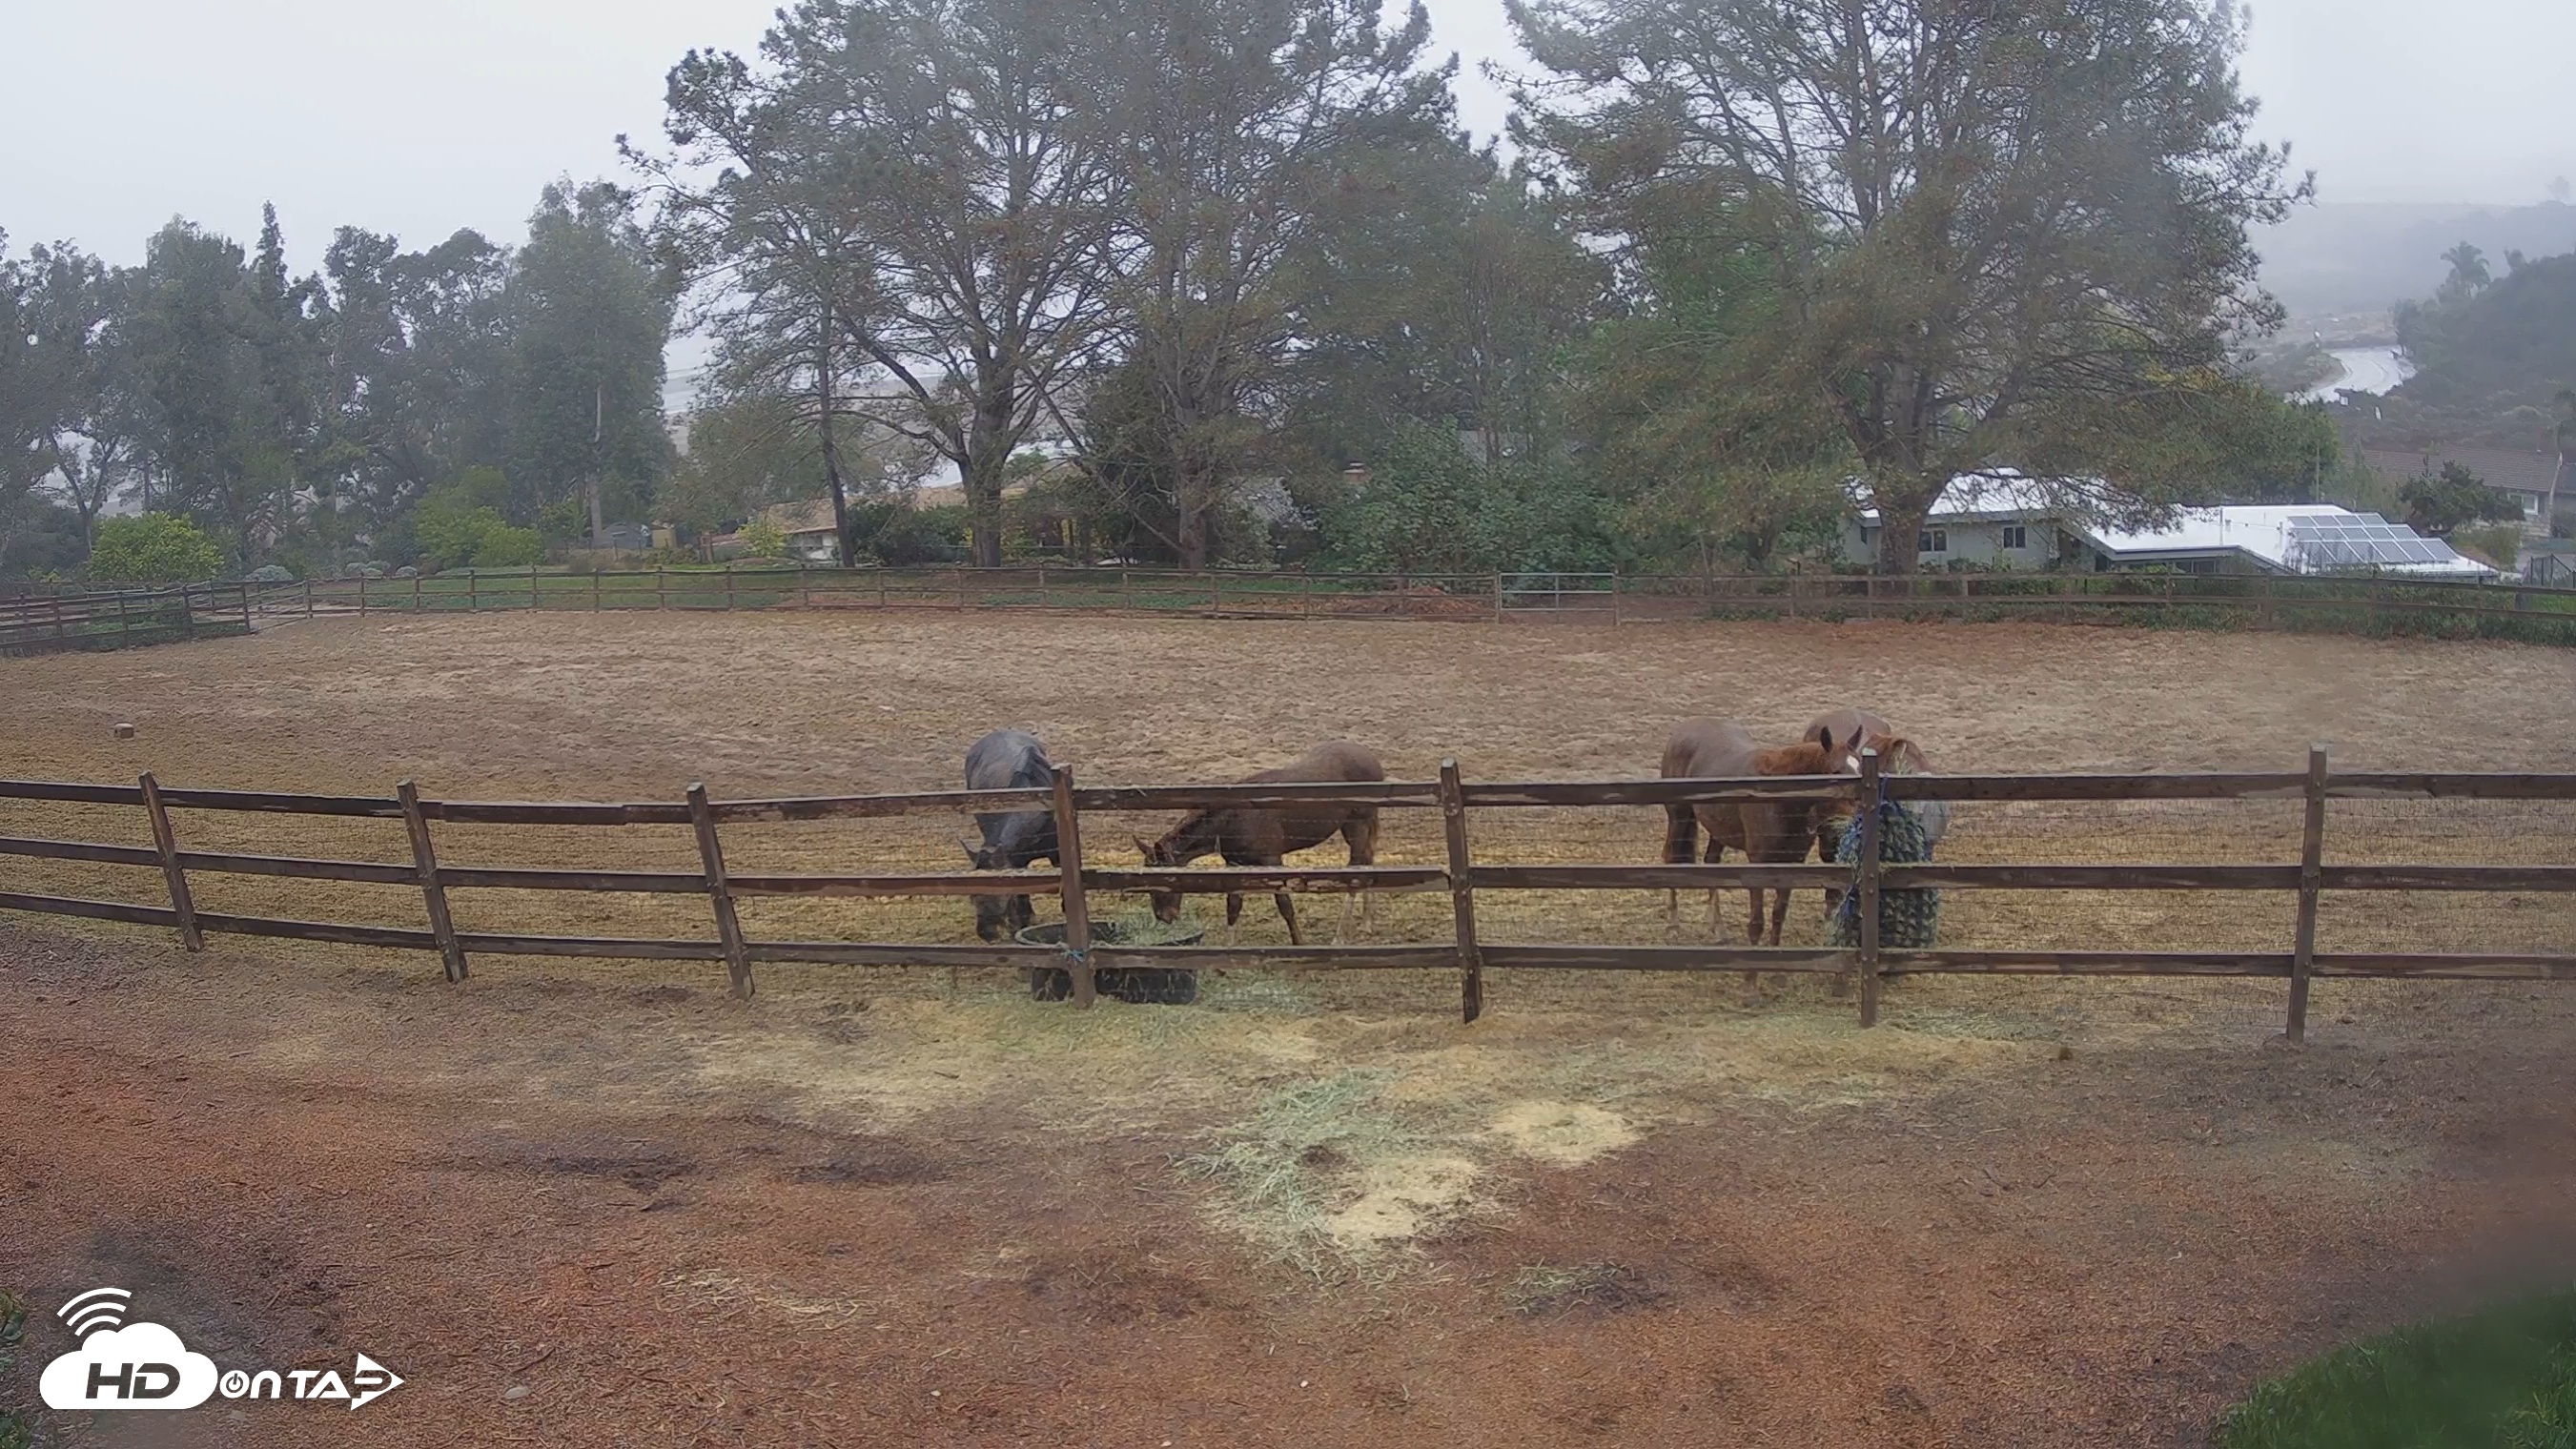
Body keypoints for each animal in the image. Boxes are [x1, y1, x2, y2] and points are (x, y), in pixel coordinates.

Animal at [1136, 741, 1384, 946]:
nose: (1164, 917)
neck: (1236, 818)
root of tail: (1371, 757)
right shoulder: (1234, 864)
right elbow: (1233, 905)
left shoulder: (1271, 860)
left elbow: (1284, 903)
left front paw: (1299, 943)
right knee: (1367, 860)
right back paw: (1367, 924)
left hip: (1358, 824)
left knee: (1355, 870)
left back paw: (1340, 937)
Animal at [1659, 719, 1861, 945]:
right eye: (1836, 772)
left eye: (1860, 767)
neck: (1779, 799)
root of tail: (1684, 729)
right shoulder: (1758, 863)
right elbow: (1756, 922)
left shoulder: (1793, 863)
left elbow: (1778, 914)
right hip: (1679, 817)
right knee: (1671, 859)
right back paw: (1673, 926)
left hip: (1718, 831)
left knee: (1711, 864)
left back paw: (1718, 930)